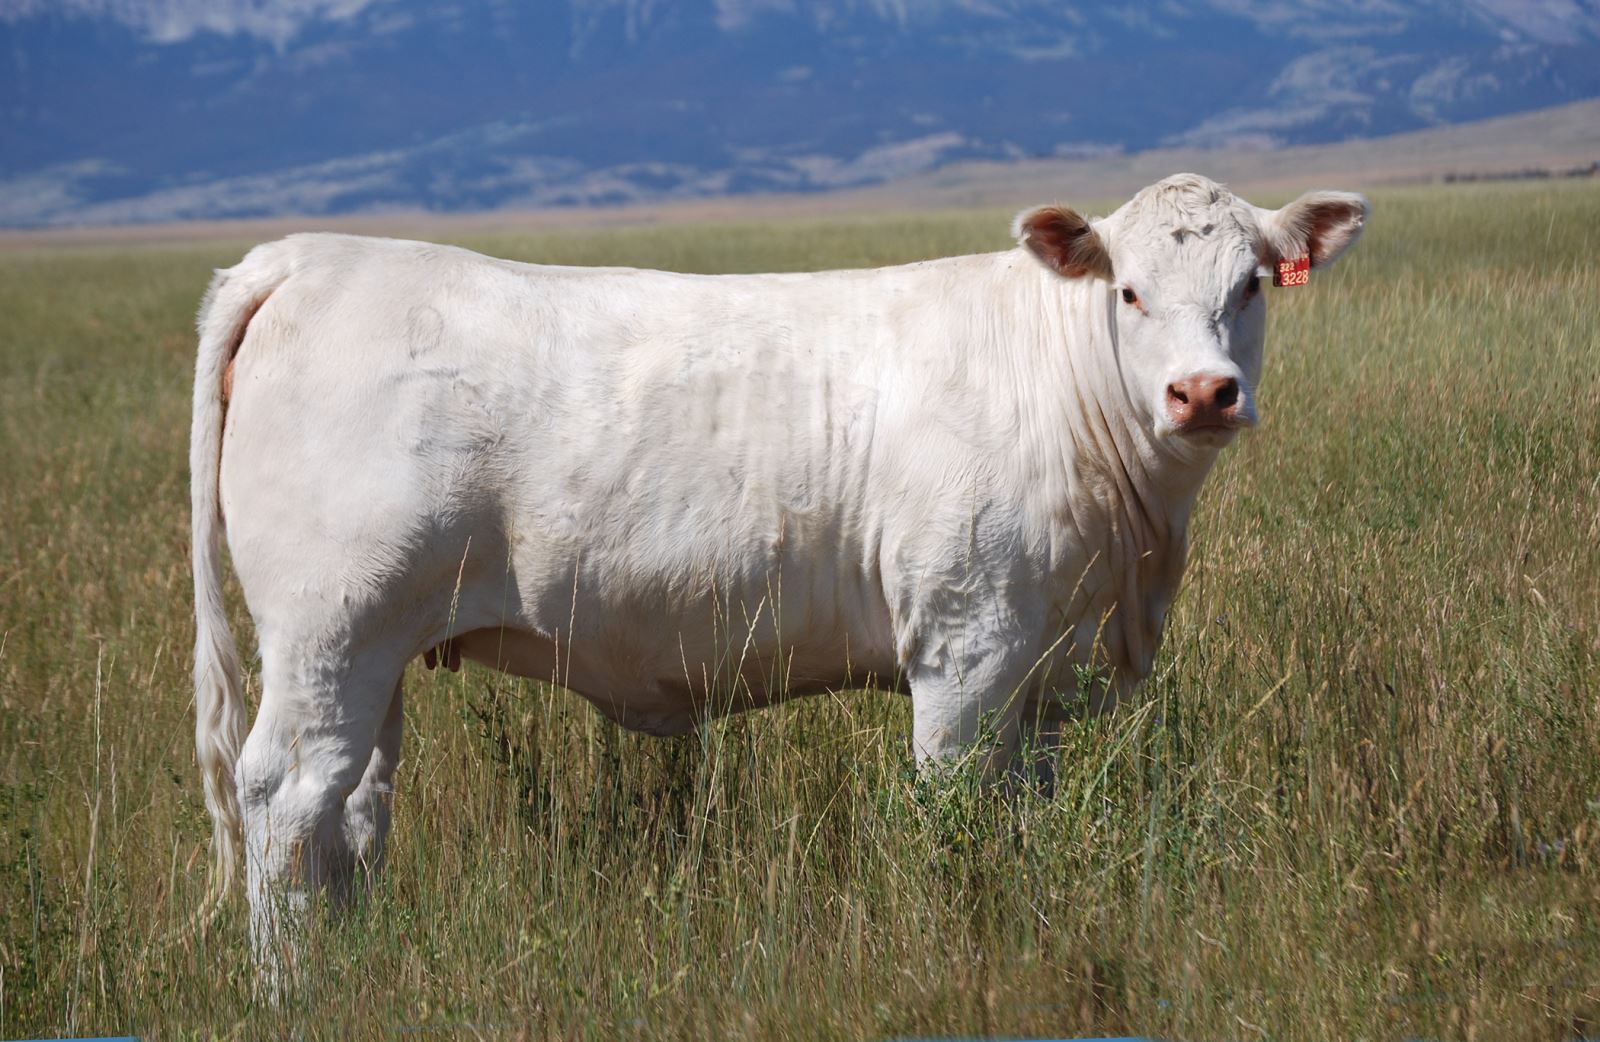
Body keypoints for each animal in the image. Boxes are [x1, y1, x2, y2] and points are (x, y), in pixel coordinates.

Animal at [190, 174, 1366, 965]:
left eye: (1252, 285)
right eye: (1127, 293)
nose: (1202, 393)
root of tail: (305, 256)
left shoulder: (1041, 671)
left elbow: (1027, 817)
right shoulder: (966, 647)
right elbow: (957, 817)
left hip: (379, 650)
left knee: (353, 806)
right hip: (329, 629)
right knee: (286, 797)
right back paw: (295, 983)